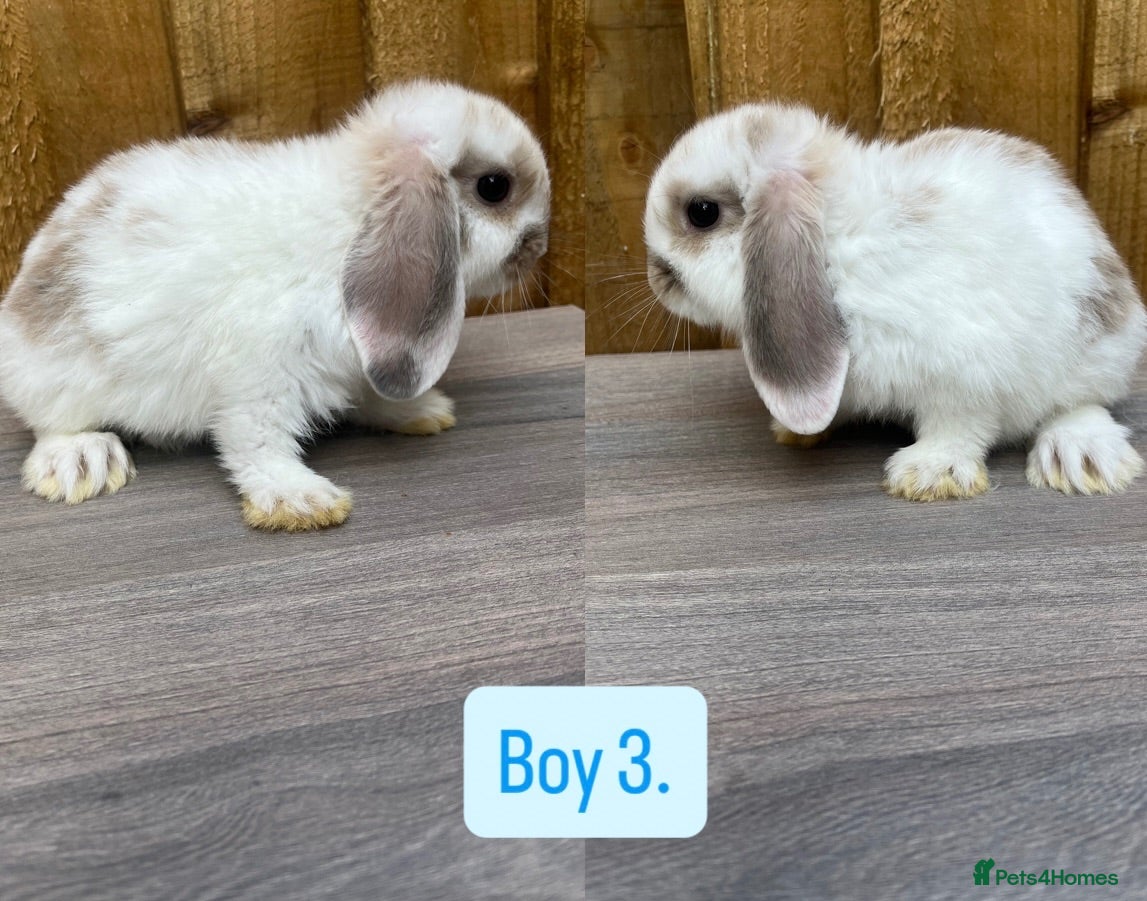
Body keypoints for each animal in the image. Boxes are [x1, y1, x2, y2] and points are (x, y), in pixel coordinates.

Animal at [0, 79, 550, 530]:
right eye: (494, 187)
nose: (539, 247)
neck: (353, 225)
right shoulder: (260, 371)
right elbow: (256, 439)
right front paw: (300, 500)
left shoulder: (362, 356)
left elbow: (370, 393)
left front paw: (418, 410)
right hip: (56, 380)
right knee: (52, 424)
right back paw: (81, 463)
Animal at [644, 103, 1147, 500]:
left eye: (701, 213)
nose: (657, 278)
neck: (834, 244)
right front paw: (795, 432)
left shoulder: (963, 375)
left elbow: (959, 426)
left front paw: (927, 475)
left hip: (1092, 355)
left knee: (1081, 404)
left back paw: (1079, 458)